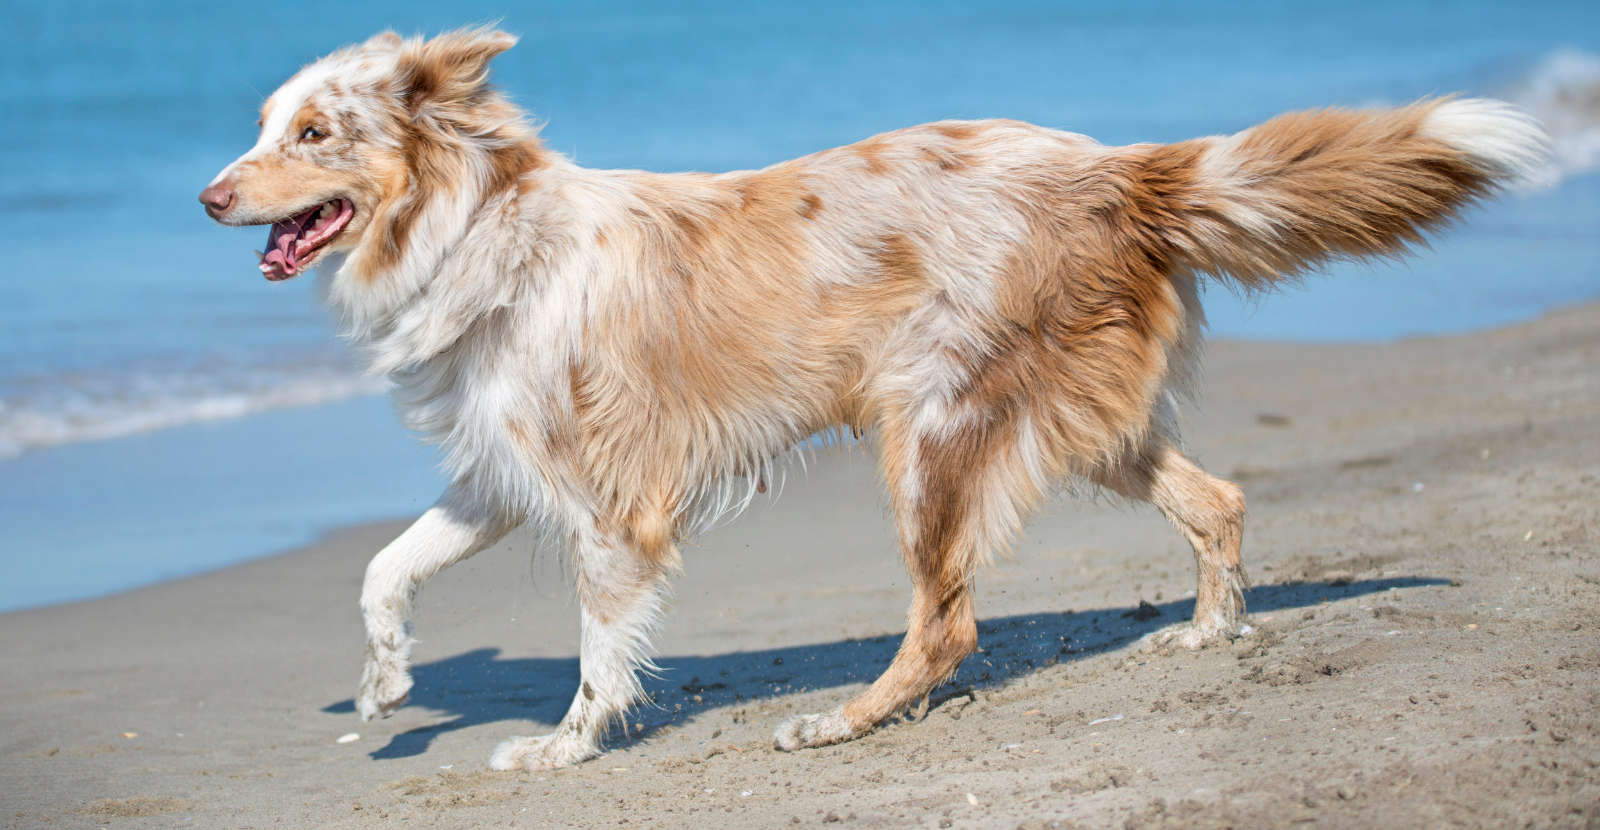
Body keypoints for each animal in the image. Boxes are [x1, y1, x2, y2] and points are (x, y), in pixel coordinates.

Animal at [200, 30, 1548, 774]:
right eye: (263, 125)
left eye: (314, 132)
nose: (208, 196)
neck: (482, 229)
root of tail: (1111, 165)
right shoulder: (502, 470)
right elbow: (382, 566)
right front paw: (385, 685)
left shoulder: (609, 506)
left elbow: (595, 653)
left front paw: (565, 746)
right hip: (1082, 418)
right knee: (1216, 497)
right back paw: (1206, 632)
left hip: (932, 429)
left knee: (948, 620)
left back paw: (842, 721)